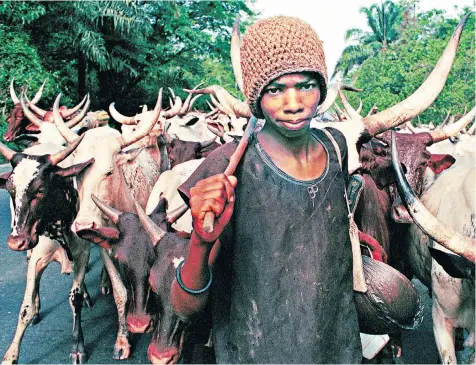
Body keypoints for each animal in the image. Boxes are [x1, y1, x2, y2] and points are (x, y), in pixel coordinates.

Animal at [0, 138, 96, 362]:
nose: (16, 242)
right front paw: (11, 355)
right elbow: (25, 308)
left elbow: (75, 298)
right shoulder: (36, 259)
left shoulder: (83, 253)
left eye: (40, 190)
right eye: (10, 189)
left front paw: (77, 346)